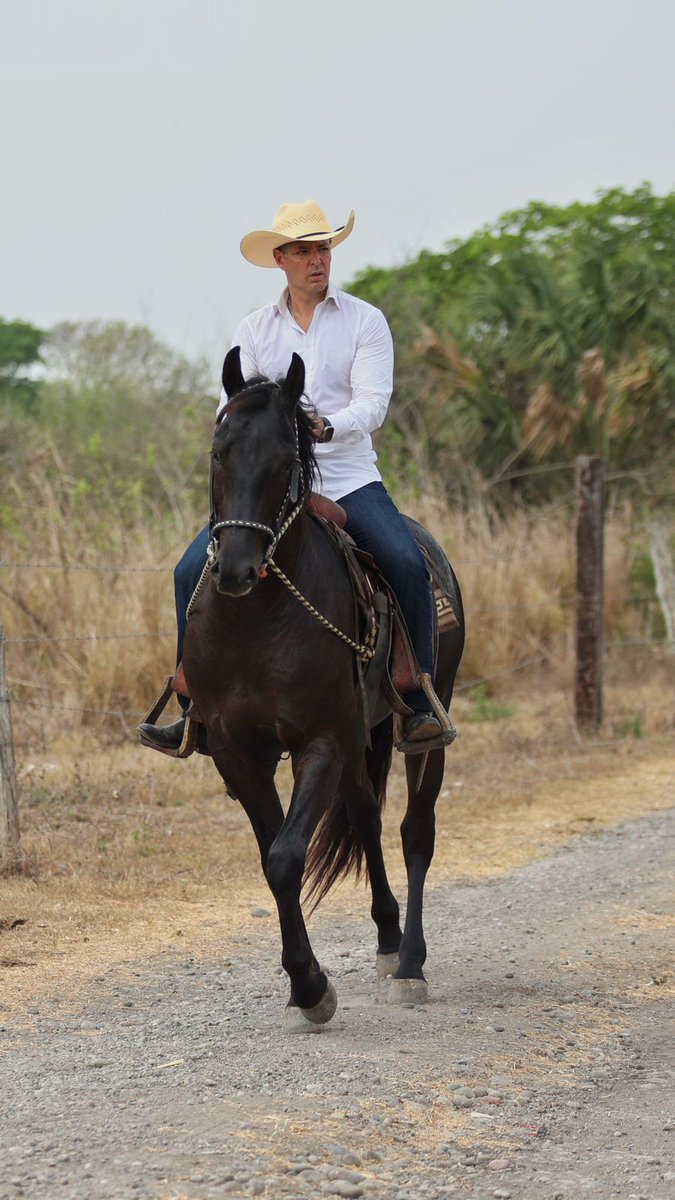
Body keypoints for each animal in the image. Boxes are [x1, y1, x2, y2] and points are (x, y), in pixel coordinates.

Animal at [181, 346, 465, 1028]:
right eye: (218, 452)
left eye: (285, 461)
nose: (236, 568)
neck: (255, 621)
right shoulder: (237, 753)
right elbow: (271, 857)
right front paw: (302, 985)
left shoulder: (321, 744)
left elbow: (288, 856)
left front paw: (311, 987)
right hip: (360, 735)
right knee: (365, 815)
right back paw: (388, 939)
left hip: (424, 728)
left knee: (415, 832)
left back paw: (410, 965)